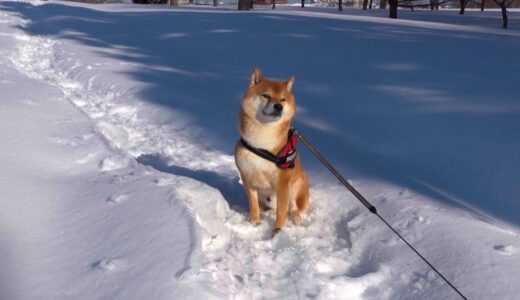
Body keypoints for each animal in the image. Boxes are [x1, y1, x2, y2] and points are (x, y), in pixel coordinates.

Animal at [235, 68, 308, 237]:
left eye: (282, 99)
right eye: (266, 95)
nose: (278, 106)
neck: (262, 144)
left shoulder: (283, 182)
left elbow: (282, 211)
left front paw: (277, 230)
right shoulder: (247, 176)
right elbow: (253, 202)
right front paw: (254, 219)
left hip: (299, 182)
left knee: (293, 206)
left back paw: (296, 217)